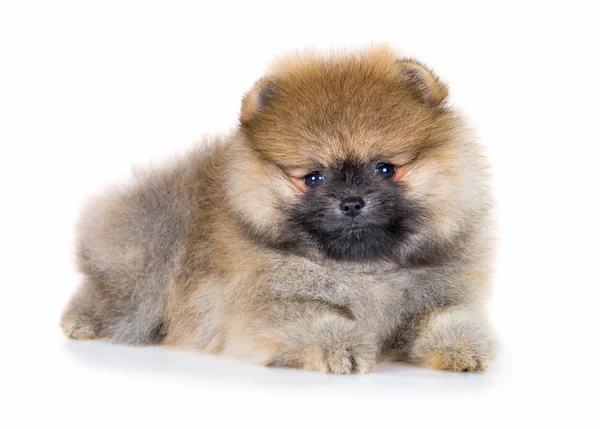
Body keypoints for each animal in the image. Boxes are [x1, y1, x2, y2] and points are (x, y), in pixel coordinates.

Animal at [61, 46, 496, 372]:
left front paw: (462, 348)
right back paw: (82, 321)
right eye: (313, 177)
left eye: (385, 168)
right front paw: (343, 347)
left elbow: (447, 317)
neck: (364, 269)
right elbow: (314, 320)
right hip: (147, 261)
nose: (351, 201)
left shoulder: (437, 294)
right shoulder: (260, 308)